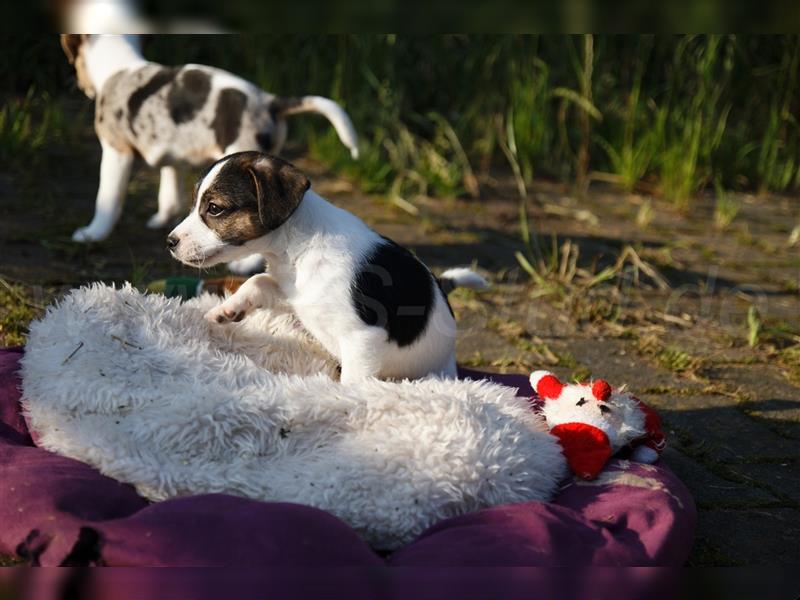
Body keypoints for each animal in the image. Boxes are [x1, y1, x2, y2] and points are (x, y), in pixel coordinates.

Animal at [62, 35, 360, 272]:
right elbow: (169, 190)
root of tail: (271, 102)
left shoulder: (116, 150)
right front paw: (162, 217)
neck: (122, 65)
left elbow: (108, 197)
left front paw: (93, 233)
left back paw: (244, 264)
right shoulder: (173, 155)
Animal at [167, 152, 488, 382]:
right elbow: (258, 281)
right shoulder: (295, 295)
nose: (170, 241)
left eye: (214, 208)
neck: (298, 249)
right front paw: (227, 309)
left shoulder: (363, 339)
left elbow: (352, 384)